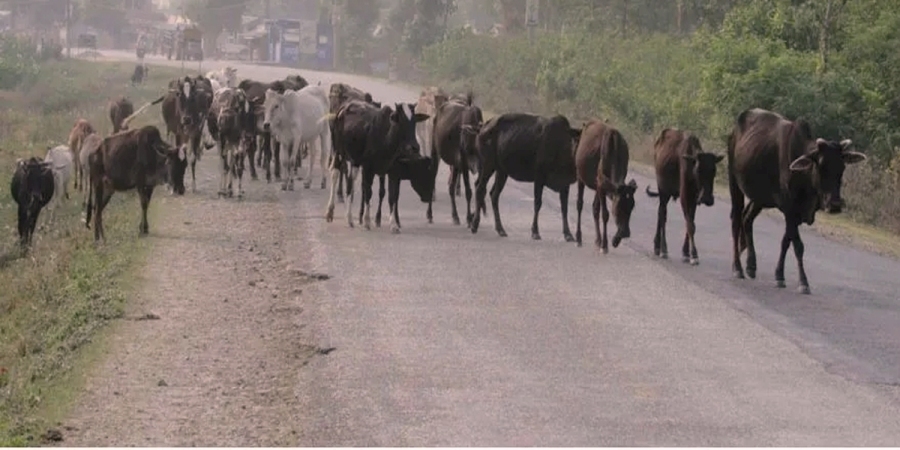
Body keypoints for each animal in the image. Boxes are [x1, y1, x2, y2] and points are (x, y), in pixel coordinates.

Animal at [326, 100, 432, 234]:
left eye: (414, 122)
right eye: (400, 120)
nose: (414, 147)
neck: (386, 139)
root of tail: (345, 106)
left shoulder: (392, 172)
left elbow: (392, 197)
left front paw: (394, 225)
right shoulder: (368, 169)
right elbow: (368, 193)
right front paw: (367, 221)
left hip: (355, 161)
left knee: (350, 181)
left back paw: (349, 218)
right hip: (338, 151)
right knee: (335, 173)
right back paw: (330, 211)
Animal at [472, 112, 584, 241]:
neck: (562, 146)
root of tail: (483, 127)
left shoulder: (565, 184)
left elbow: (564, 208)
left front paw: (568, 234)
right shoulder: (539, 177)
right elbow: (538, 203)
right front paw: (535, 231)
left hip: (501, 171)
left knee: (494, 195)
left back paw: (500, 229)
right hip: (488, 166)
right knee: (480, 189)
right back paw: (474, 225)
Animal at [572, 119, 636, 253]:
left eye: (631, 207)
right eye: (618, 208)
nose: (626, 233)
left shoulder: (601, 185)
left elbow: (597, 209)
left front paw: (611, 240)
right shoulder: (601, 184)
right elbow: (605, 214)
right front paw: (605, 245)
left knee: (594, 208)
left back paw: (598, 240)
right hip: (580, 176)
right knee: (579, 204)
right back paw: (579, 238)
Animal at [648, 127, 724, 264]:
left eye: (714, 171)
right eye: (698, 170)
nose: (707, 198)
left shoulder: (694, 198)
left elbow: (691, 223)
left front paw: (686, 252)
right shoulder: (684, 197)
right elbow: (690, 225)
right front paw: (694, 254)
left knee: (659, 213)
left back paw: (657, 246)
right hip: (663, 191)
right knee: (662, 214)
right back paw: (663, 249)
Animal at [724, 107, 864, 294]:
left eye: (842, 167)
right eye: (820, 165)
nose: (834, 204)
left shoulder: (795, 214)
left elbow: (786, 241)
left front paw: (779, 275)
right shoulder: (789, 209)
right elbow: (798, 245)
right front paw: (803, 282)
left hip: (760, 198)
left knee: (747, 219)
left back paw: (750, 264)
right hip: (734, 183)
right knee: (736, 220)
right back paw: (738, 267)